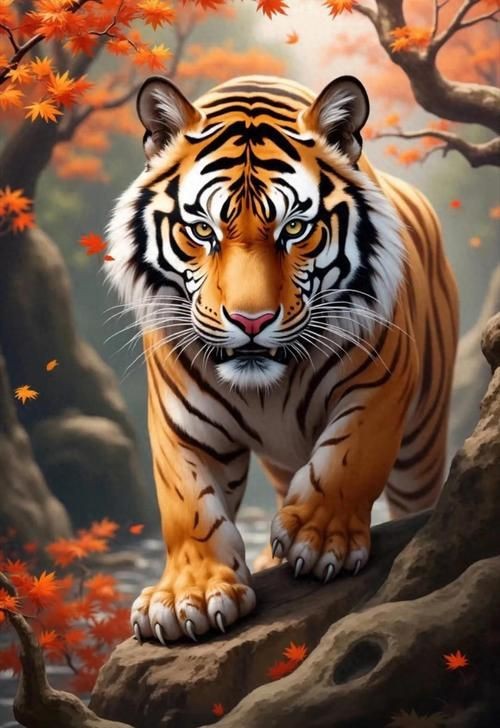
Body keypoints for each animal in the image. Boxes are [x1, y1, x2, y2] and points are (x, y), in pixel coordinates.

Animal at [106, 74, 458, 644]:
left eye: (294, 229)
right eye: (202, 230)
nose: (251, 321)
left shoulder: (377, 386)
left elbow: (349, 459)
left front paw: (319, 539)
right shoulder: (181, 423)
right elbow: (188, 504)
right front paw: (187, 597)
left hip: (421, 443)